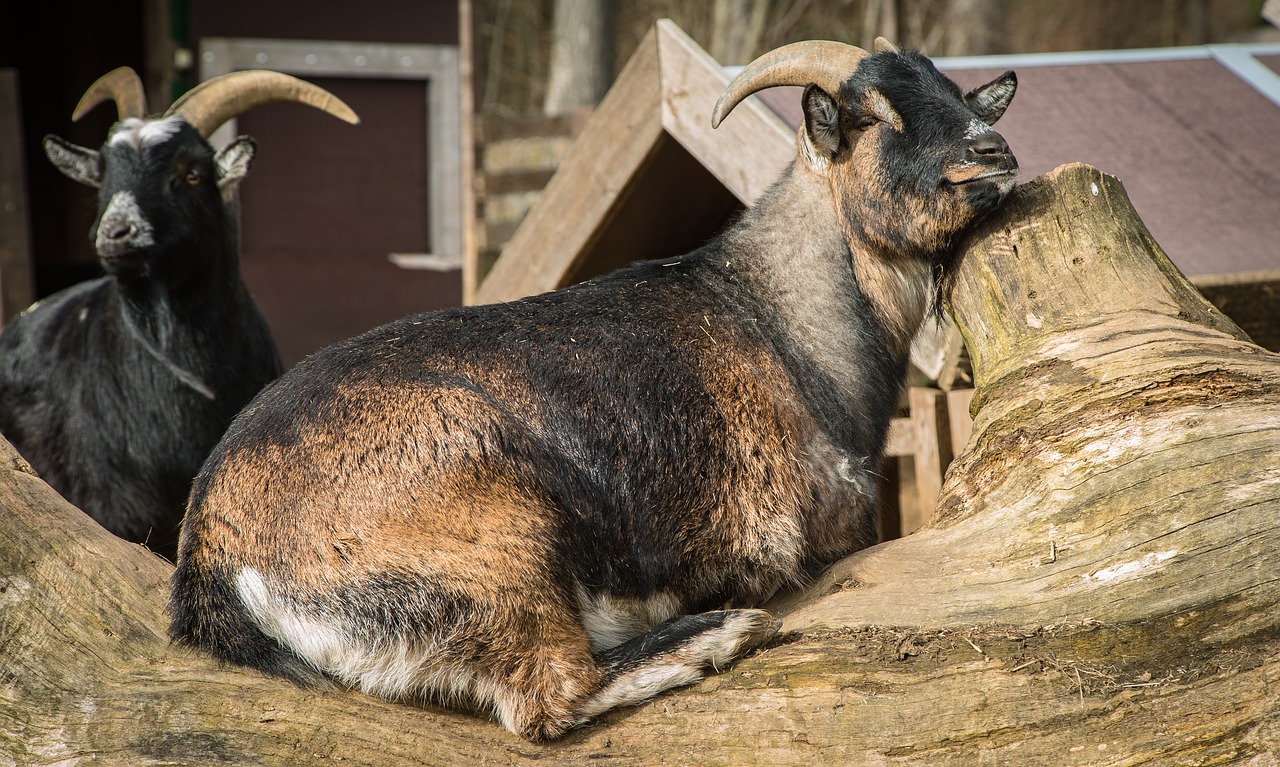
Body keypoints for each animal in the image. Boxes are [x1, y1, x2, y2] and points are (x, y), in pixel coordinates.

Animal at [170, 39, 1013, 742]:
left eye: (960, 96)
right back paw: (722, 630)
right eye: (874, 117)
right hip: (493, 541)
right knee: (550, 695)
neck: (777, 318)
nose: (992, 151)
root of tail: (211, 540)